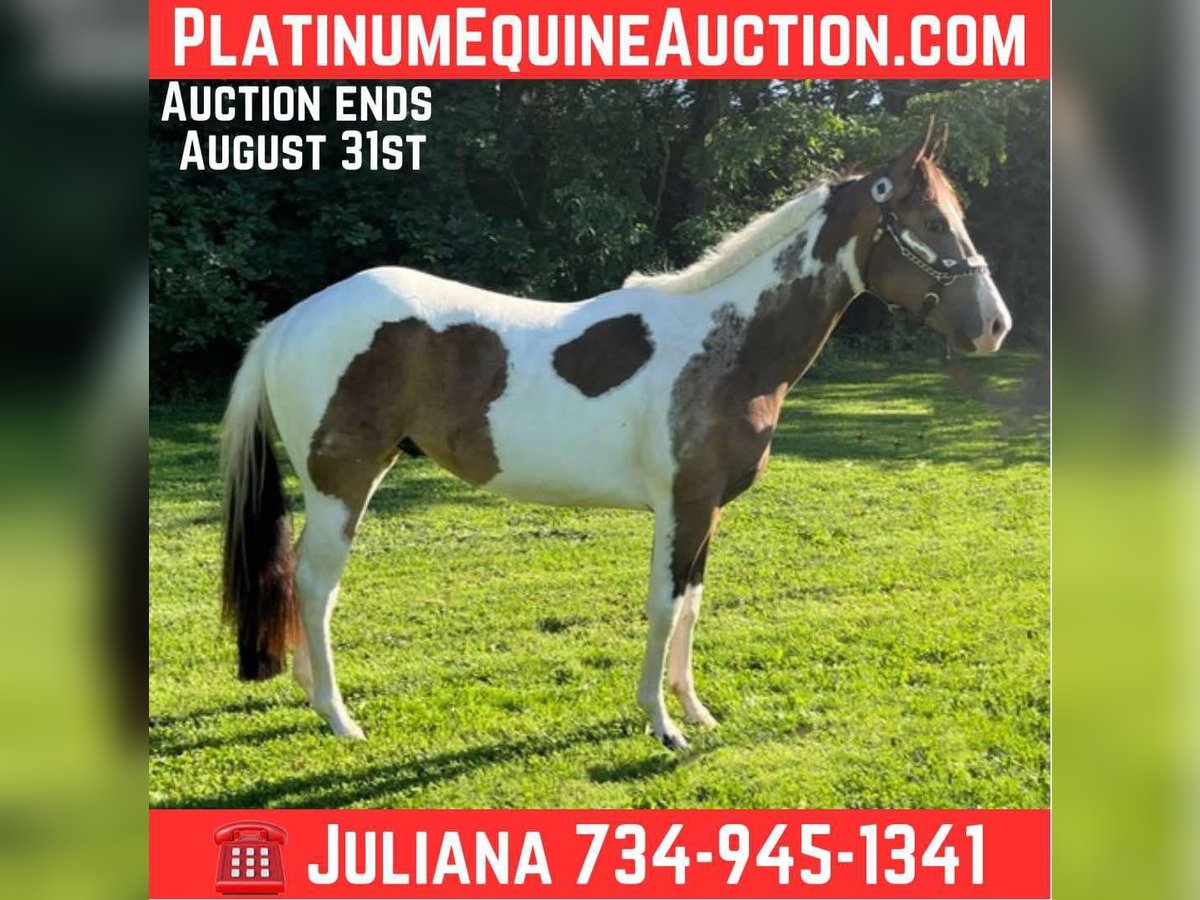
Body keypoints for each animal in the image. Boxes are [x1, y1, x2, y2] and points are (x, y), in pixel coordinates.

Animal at [220, 120, 1011, 748]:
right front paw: (662, 725)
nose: (994, 325)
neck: (729, 343)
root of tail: (289, 320)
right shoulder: (682, 505)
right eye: (931, 222)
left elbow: (692, 602)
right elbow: (664, 606)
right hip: (344, 483)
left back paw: (310, 695)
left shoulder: (707, 510)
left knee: (301, 579)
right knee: (316, 584)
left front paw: (696, 711)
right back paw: (339, 716)